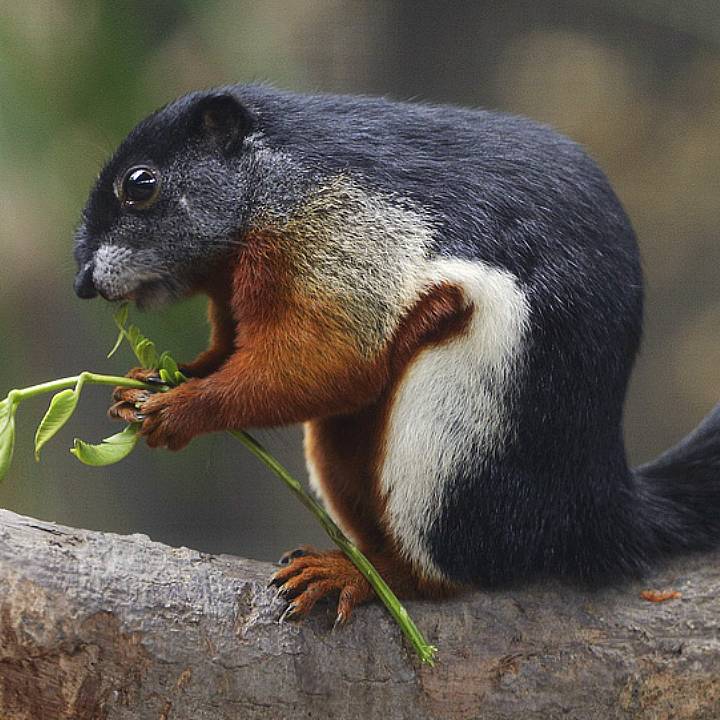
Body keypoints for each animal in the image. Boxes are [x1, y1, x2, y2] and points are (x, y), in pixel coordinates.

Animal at [73, 84, 720, 624]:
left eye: (140, 184)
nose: (81, 283)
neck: (266, 184)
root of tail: (596, 505)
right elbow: (231, 350)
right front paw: (147, 382)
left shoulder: (338, 239)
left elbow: (325, 363)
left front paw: (179, 408)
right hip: (346, 448)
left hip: (443, 443)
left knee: (443, 571)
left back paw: (357, 575)